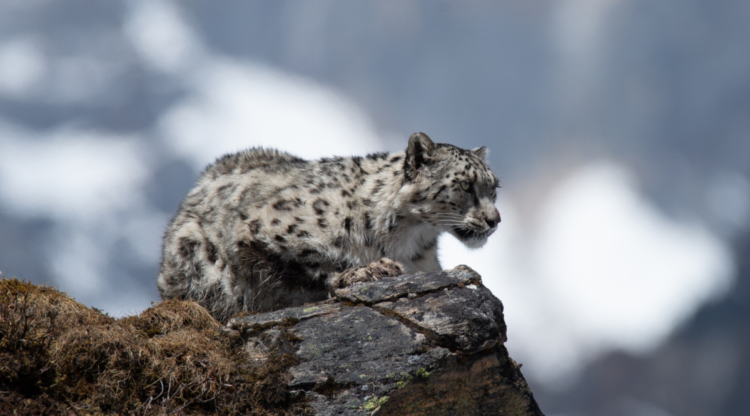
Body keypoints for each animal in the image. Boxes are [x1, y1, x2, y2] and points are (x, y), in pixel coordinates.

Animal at [157, 133, 501, 322]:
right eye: (466, 184)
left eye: (494, 187)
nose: (494, 220)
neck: (410, 241)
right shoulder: (264, 227)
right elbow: (316, 261)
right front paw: (371, 269)